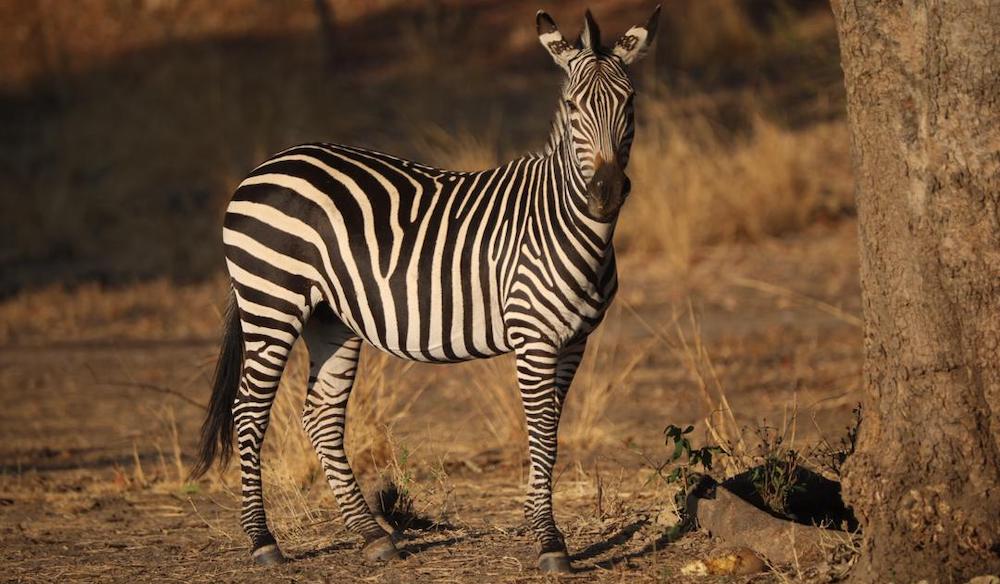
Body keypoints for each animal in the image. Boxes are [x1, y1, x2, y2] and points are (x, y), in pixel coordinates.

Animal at [191, 6, 660, 574]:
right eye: (572, 107)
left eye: (629, 102)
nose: (606, 193)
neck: (564, 221)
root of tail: (266, 165)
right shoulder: (534, 337)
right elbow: (542, 431)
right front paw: (549, 541)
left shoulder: (574, 342)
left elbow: (550, 431)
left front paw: (538, 526)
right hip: (271, 303)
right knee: (248, 412)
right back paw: (264, 542)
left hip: (330, 318)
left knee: (320, 416)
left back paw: (372, 535)